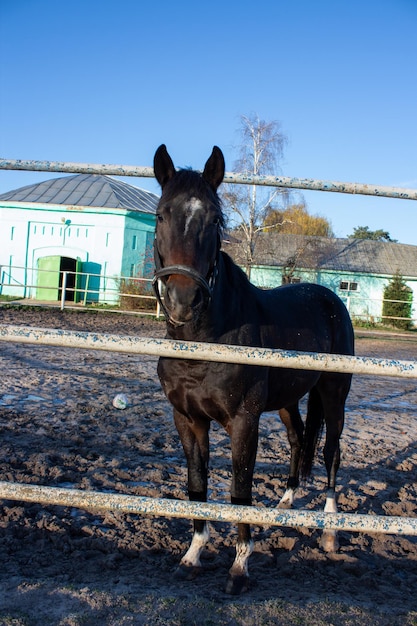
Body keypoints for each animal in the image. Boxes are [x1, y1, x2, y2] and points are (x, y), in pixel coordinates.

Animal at [151, 144, 352, 592]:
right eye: (160, 215)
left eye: (214, 219)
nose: (183, 300)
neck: (203, 344)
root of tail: (331, 298)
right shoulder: (187, 419)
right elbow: (197, 483)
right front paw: (192, 555)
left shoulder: (244, 420)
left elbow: (240, 486)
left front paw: (240, 567)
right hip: (288, 400)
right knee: (298, 440)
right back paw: (285, 502)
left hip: (334, 395)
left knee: (330, 452)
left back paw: (330, 530)